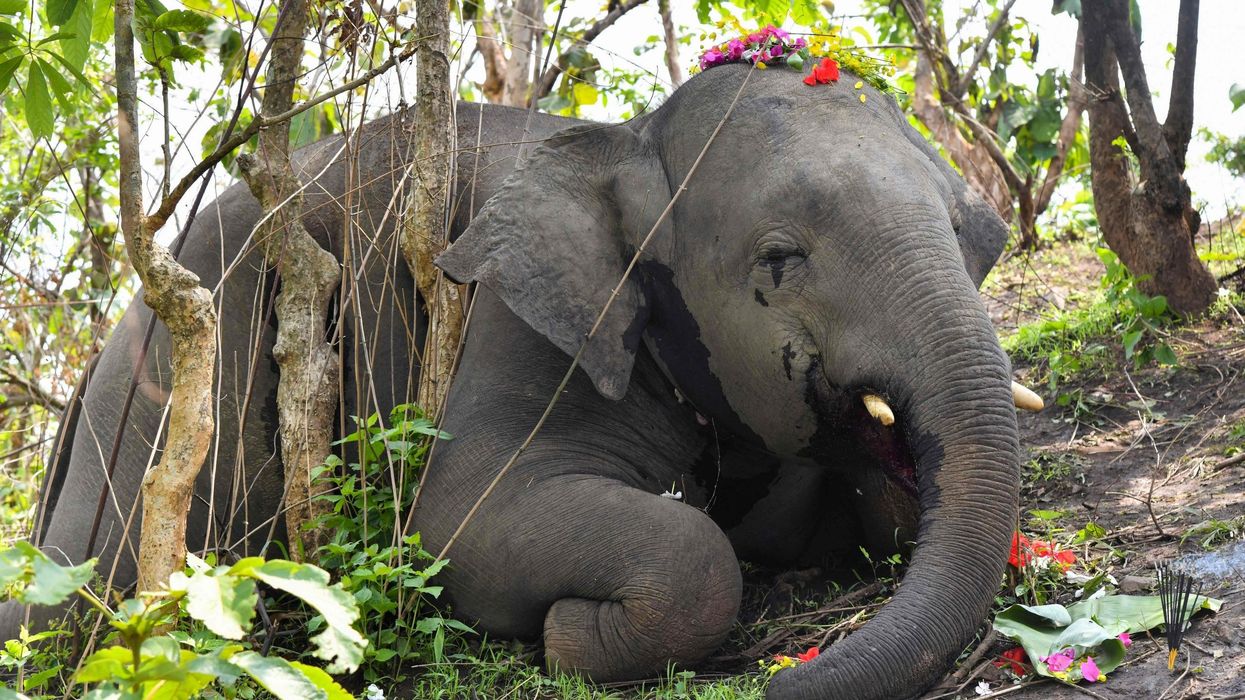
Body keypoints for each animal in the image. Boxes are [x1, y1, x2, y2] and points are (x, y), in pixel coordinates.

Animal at [2, 63, 1024, 700]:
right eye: (780, 259)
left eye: (974, 234)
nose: (788, 677)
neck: (625, 140)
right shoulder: (512, 319)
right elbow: (467, 520)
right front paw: (568, 635)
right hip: (168, 382)